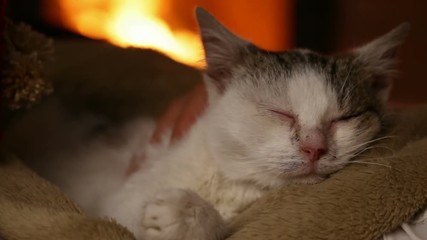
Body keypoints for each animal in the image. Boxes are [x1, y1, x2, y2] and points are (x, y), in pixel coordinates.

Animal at [30, 7, 412, 240]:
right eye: (278, 112)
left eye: (345, 118)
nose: (314, 147)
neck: (238, 186)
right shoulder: (110, 205)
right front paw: (188, 214)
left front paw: (188, 216)